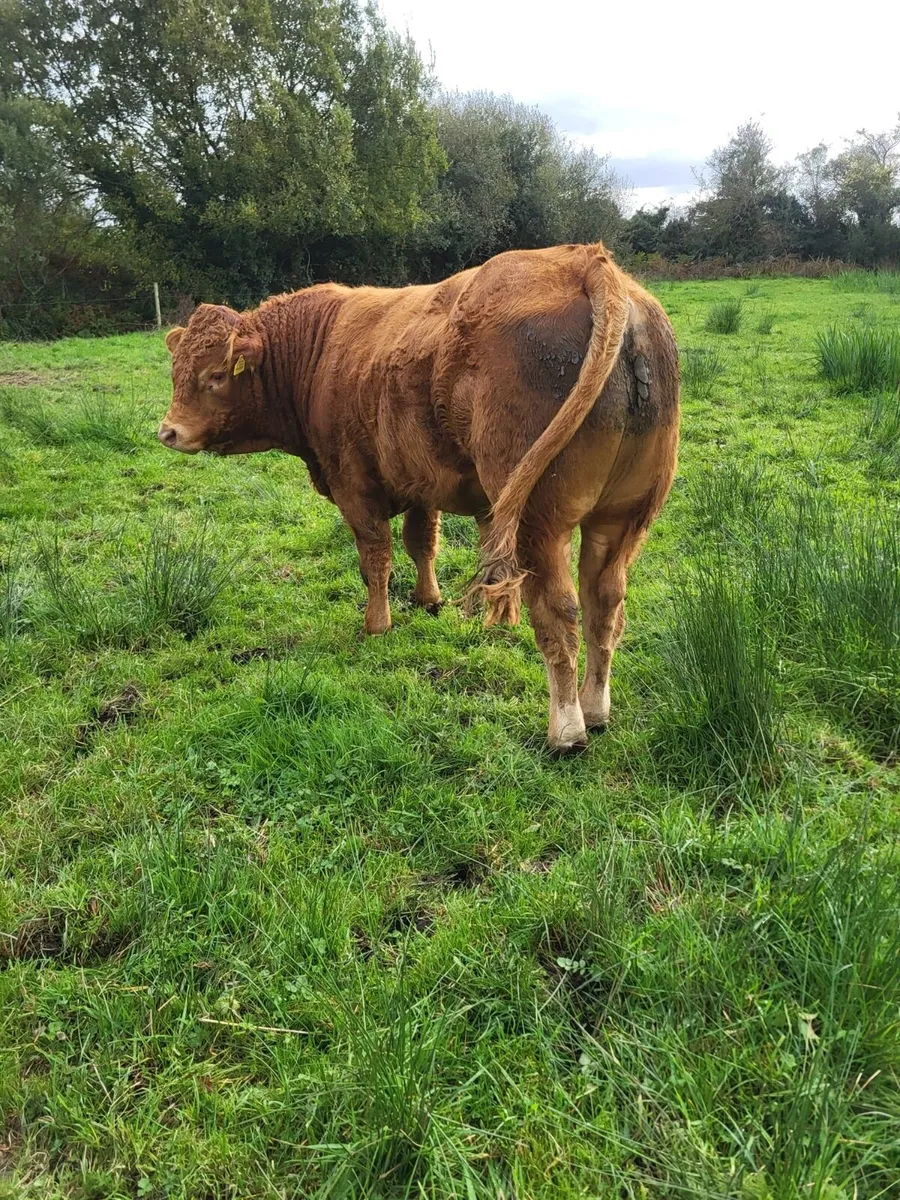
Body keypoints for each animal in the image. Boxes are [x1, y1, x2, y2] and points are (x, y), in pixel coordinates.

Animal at [158, 243, 679, 752]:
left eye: (215, 375)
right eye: (176, 372)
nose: (168, 431)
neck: (320, 351)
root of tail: (584, 260)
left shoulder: (354, 486)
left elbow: (376, 560)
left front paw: (377, 624)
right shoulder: (422, 480)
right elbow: (422, 542)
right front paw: (429, 599)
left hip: (539, 524)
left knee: (559, 612)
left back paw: (566, 729)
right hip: (621, 520)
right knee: (604, 605)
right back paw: (595, 710)